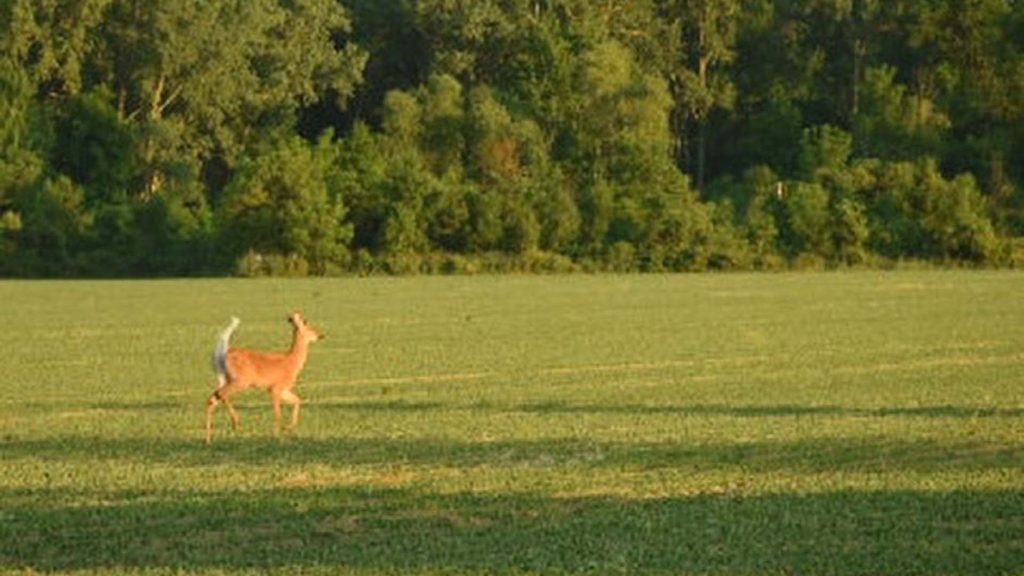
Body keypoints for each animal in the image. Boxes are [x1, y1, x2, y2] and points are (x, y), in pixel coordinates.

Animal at [205, 312, 324, 444]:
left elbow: (297, 400)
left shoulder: (283, 389)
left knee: (215, 397)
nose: (321, 335)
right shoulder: (276, 388)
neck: (292, 362)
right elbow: (278, 413)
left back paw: (210, 438)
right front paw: (277, 436)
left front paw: (288, 428)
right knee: (219, 395)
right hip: (241, 381)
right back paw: (234, 423)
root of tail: (223, 354)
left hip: (225, 378)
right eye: (310, 327)